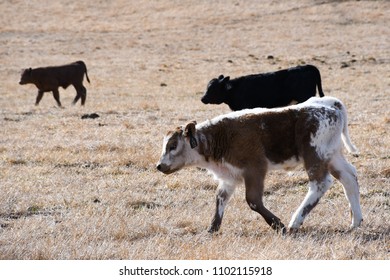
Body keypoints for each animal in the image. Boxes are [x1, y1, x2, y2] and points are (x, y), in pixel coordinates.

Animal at [156, 97, 362, 233]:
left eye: (173, 146)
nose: (159, 166)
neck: (221, 137)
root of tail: (329, 105)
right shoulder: (229, 176)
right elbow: (220, 198)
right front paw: (212, 228)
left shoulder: (255, 169)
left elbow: (253, 200)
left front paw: (278, 225)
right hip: (332, 155)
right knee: (349, 177)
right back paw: (355, 221)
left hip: (314, 155)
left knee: (320, 183)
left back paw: (295, 222)